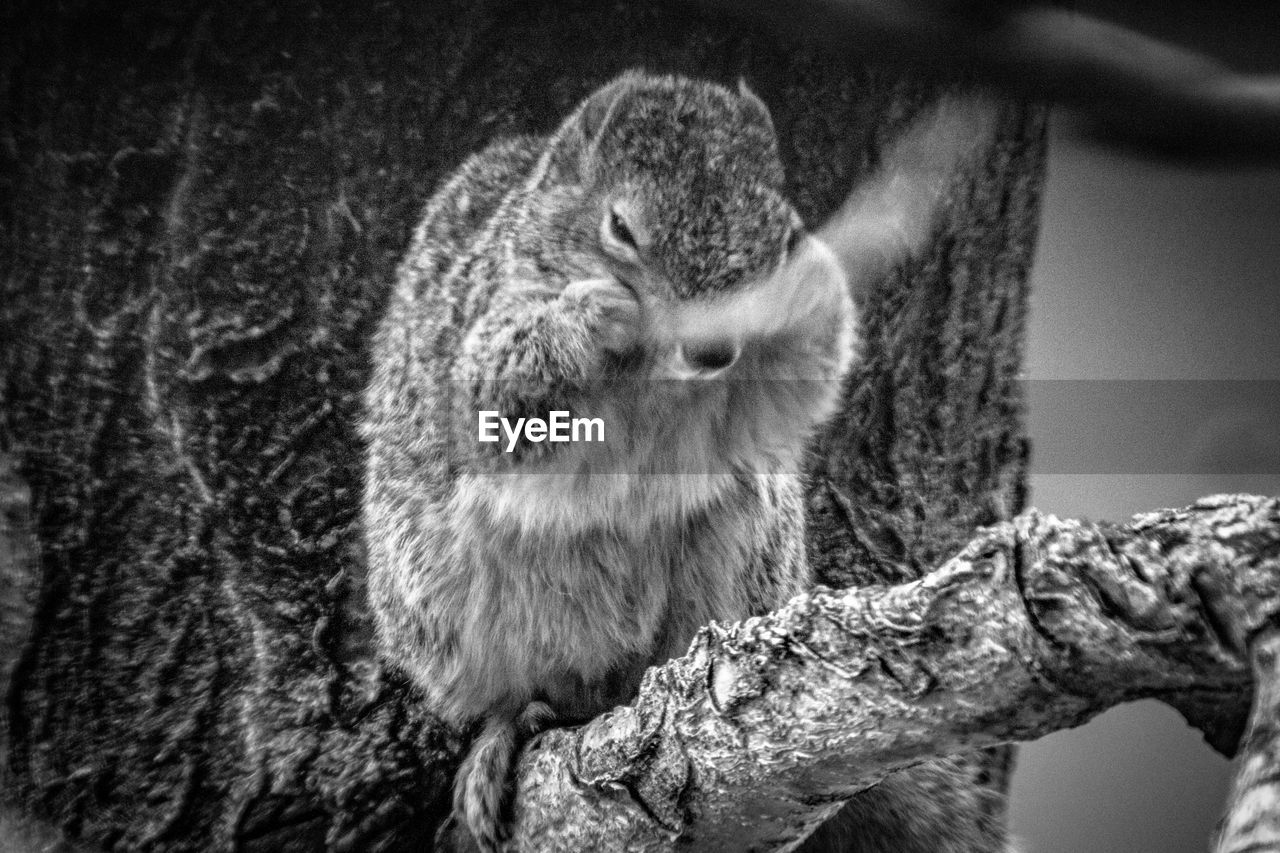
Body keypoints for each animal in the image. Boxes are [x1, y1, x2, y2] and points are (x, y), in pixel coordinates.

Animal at [360, 69, 988, 845]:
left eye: (781, 235)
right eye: (621, 228)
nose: (711, 347)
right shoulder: (476, 332)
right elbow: (497, 396)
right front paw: (589, 320)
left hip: (738, 562)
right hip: (447, 608)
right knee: (518, 695)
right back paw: (506, 731)